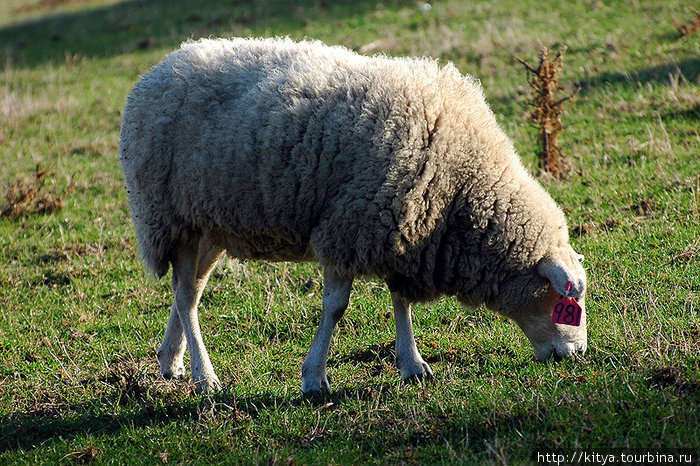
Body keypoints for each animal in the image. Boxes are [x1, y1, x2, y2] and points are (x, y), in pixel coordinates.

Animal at [119, 37, 584, 394]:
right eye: (568, 301)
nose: (577, 354)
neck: (460, 183)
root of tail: (161, 67)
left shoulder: (401, 231)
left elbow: (401, 301)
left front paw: (413, 364)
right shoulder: (347, 228)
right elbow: (336, 309)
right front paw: (314, 379)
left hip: (209, 226)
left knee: (189, 293)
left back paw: (171, 361)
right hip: (170, 218)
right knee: (185, 297)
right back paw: (205, 376)